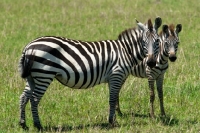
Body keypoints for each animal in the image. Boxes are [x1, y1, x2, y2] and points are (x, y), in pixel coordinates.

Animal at [18, 16, 162, 130]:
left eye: (157, 41)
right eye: (144, 42)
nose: (151, 63)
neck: (126, 50)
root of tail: (29, 46)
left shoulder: (113, 78)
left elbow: (113, 98)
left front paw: (113, 119)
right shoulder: (116, 75)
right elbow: (112, 99)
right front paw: (112, 122)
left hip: (32, 77)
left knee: (24, 97)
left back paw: (23, 124)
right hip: (44, 75)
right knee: (34, 99)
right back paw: (38, 125)